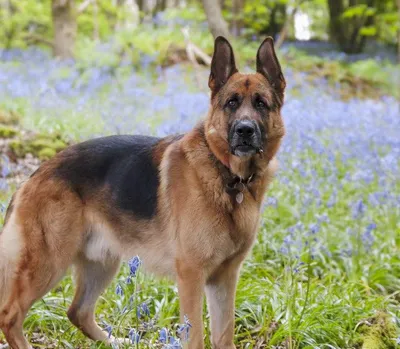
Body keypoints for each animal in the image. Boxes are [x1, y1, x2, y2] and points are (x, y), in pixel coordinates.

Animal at [0, 36, 288, 346]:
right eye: (231, 103)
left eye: (261, 104)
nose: (245, 130)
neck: (228, 177)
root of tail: (34, 176)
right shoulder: (191, 275)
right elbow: (195, 337)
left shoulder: (225, 279)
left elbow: (224, 337)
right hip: (48, 264)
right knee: (11, 314)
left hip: (102, 263)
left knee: (78, 312)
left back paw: (116, 341)